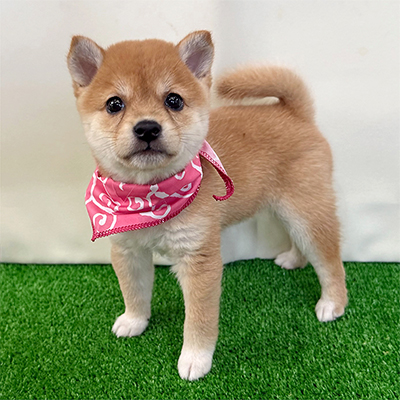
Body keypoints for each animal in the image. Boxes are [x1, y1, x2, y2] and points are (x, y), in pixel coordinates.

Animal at [67, 30, 347, 381]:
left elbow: (198, 320)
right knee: (299, 241)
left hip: (307, 211)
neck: (147, 198)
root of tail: (295, 113)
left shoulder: (199, 260)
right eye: (114, 104)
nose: (147, 128)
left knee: (330, 261)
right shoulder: (128, 250)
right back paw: (294, 260)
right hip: (287, 210)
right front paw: (134, 320)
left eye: (174, 100)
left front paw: (195, 358)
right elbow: (134, 291)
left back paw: (333, 303)